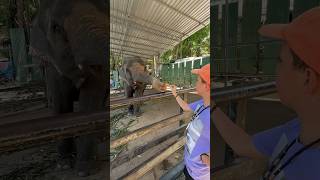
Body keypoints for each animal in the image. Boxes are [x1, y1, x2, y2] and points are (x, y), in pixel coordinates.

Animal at [28, 0, 107, 177]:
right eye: (56, 28)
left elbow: (90, 102)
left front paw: (84, 170)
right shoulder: (52, 66)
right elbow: (62, 104)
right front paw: (64, 165)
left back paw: (101, 138)